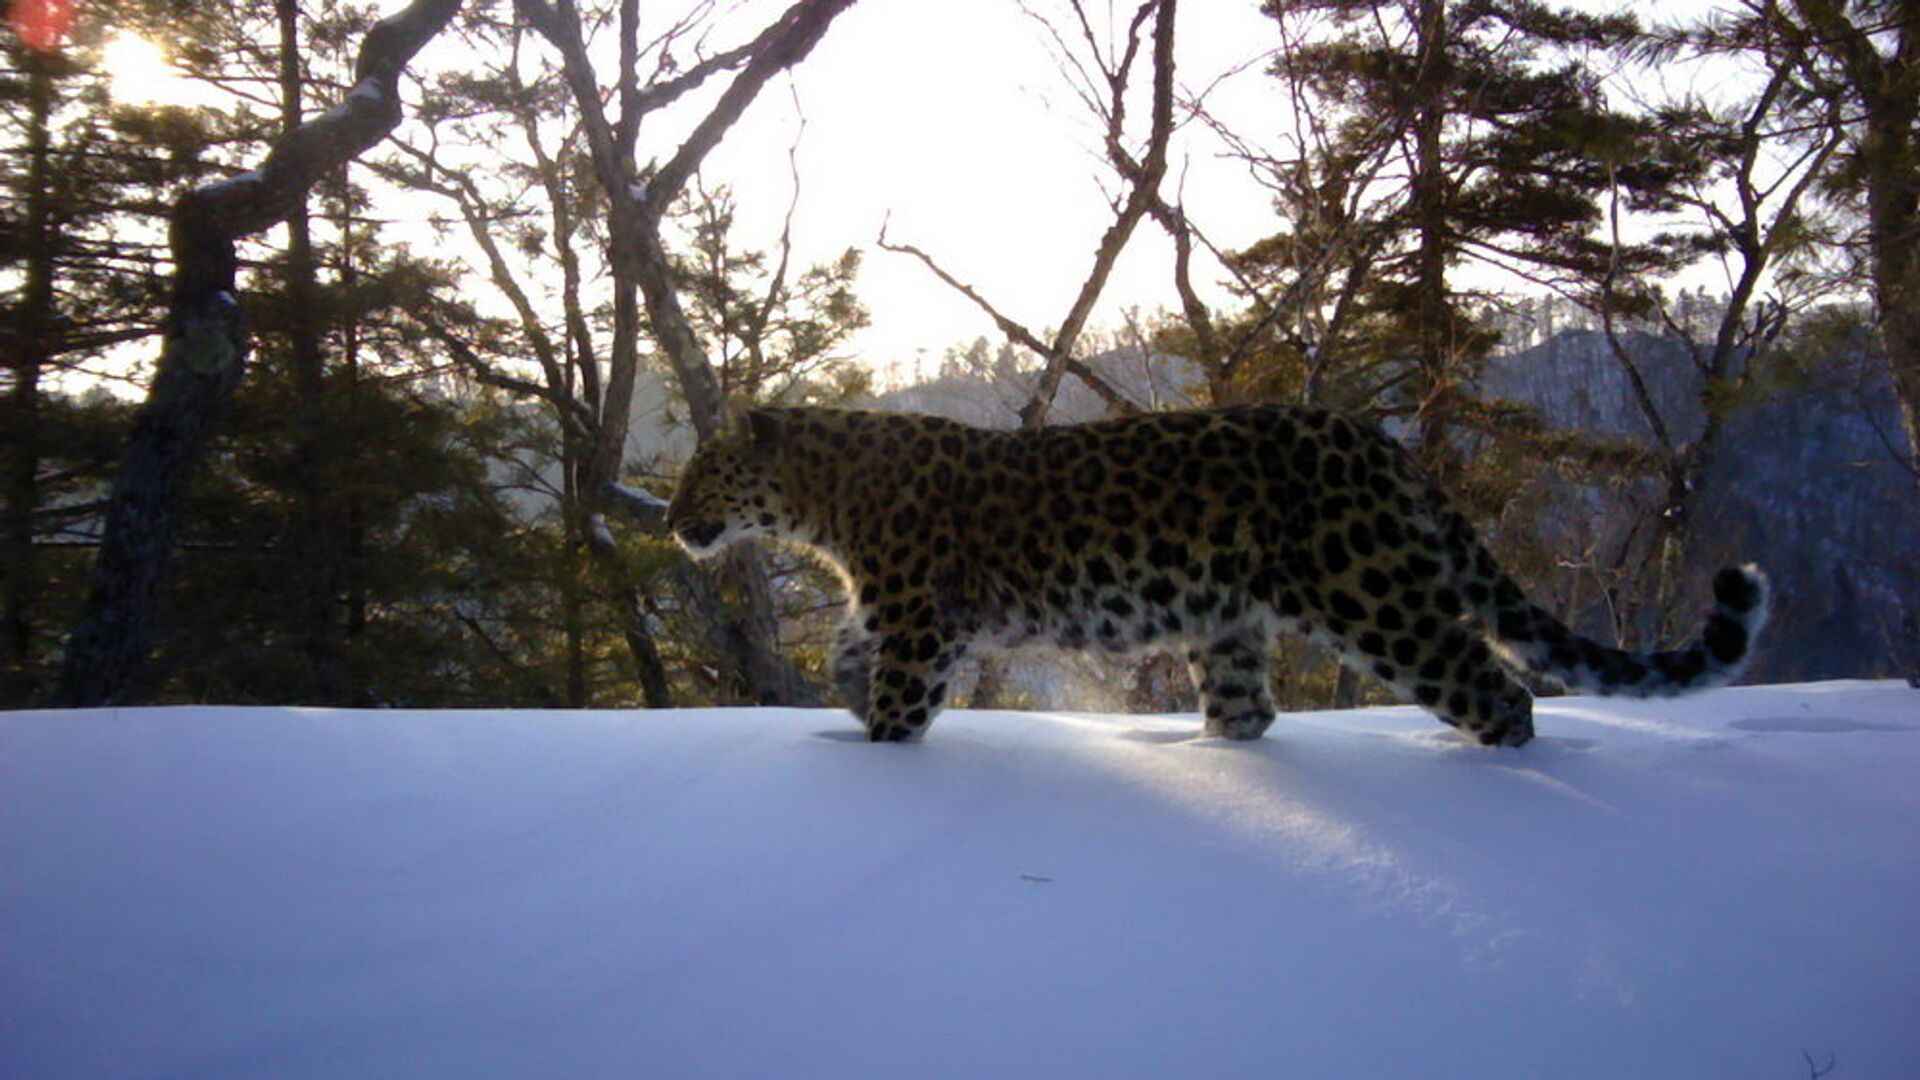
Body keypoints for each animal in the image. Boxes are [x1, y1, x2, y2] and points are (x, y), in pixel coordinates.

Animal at [664, 399, 1766, 745]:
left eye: (701, 473)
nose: (671, 523)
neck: (823, 500)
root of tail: (1381, 445)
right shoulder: (888, 612)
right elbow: (846, 662)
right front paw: (844, 711)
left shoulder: (921, 618)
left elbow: (896, 699)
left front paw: (877, 749)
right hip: (1228, 621)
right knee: (1252, 712)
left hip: (1370, 594)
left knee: (1494, 688)